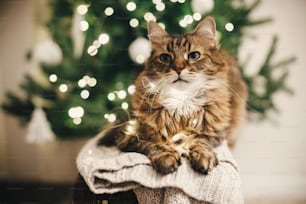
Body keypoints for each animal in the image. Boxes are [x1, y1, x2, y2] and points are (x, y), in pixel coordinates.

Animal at [101, 16, 247, 175]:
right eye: (165, 58)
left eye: (194, 55)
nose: (178, 69)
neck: (181, 101)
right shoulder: (128, 134)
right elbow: (153, 145)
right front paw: (166, 157)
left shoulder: (215, 133)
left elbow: (200, 141)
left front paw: (203, 156)